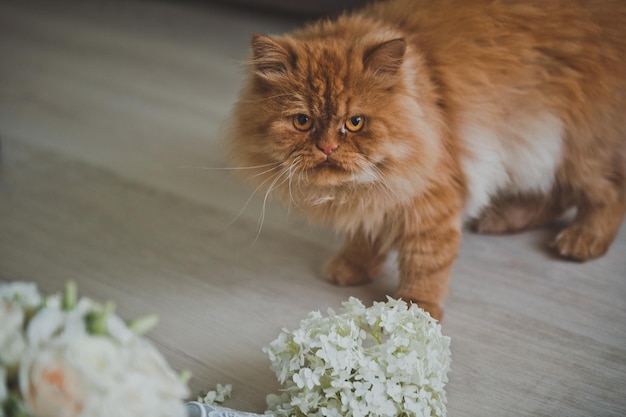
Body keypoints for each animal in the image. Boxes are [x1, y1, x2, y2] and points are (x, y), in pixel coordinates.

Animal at [229, 0, 624, 318]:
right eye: (302, 121)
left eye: (354, 123)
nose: (327, 148)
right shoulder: (381, 197)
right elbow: (366, 236)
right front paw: (352, 267)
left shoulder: (430, 199)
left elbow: (425, 263)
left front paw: (417, 312)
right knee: (557, 196)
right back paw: (501, 219)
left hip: (573, 146)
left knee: (605, 195)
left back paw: (582, 240)